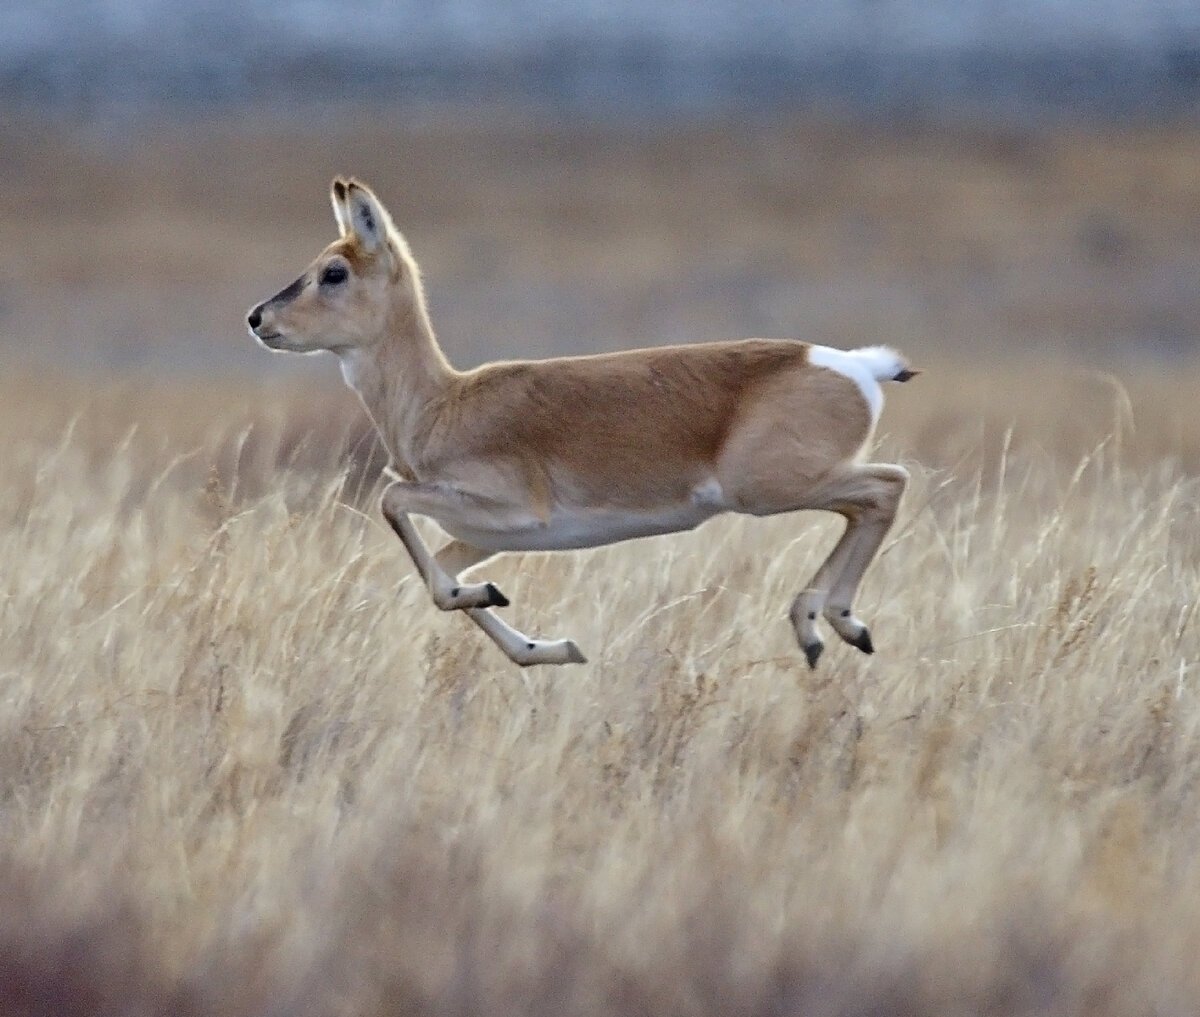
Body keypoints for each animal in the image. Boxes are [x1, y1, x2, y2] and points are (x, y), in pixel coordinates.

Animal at [246, 178, 916, 666]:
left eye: (334, 271)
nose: (257, 318)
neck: (445, 402)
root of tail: (852, 366)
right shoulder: (483, 534)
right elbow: (445, 580)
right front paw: (552, 647)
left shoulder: (512, 513)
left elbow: (402, 519)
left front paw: (498, 605)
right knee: (868, 503)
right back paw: (829, 627)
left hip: (767, 489)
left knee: (888, 484)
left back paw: (829, 625)